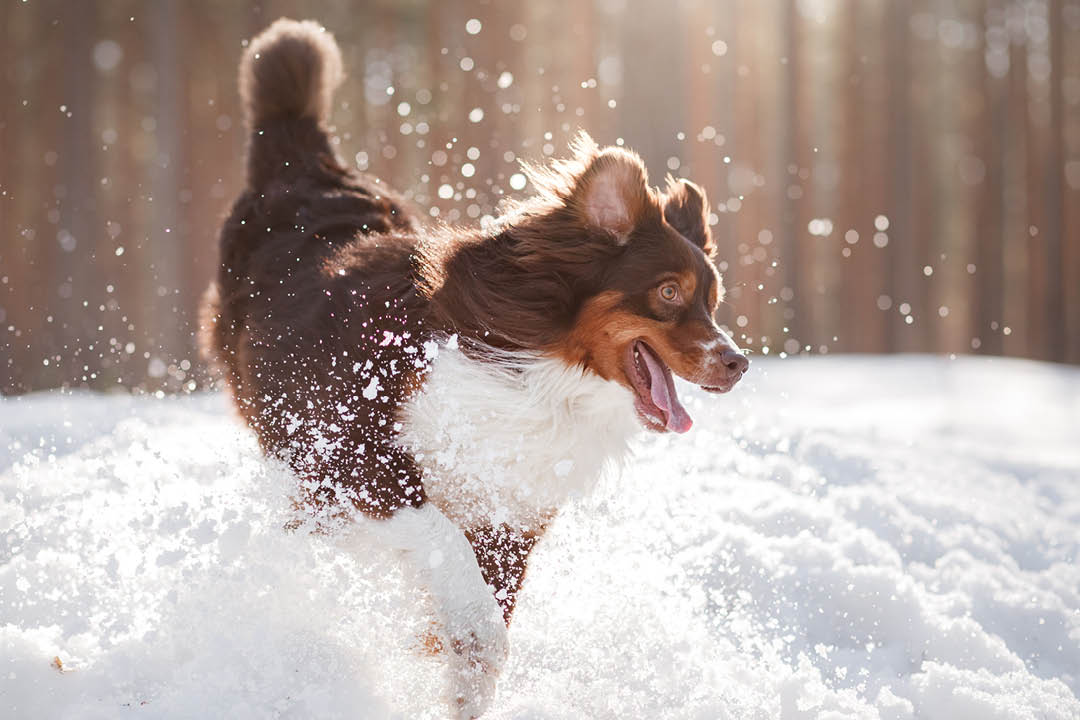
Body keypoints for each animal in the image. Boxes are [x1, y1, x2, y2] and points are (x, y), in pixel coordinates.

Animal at [200, 18, 743, 720]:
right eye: (670, 292)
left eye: (713, 300)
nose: (738, 362)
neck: (539, 375)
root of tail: (302, 161)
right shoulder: (356, 455)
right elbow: (457, 575)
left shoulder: (508, 516)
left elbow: (485, 616)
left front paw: (454, 672)